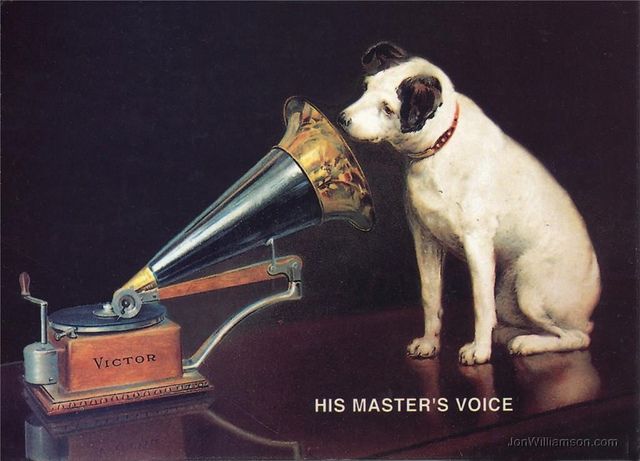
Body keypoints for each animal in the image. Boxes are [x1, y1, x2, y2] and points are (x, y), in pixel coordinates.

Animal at [340, 42, 600, 362]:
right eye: (366, 87)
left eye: (388, 108)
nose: (343, 120)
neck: (442, 145)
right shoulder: (425, 240)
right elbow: (430, 296)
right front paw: (429, 343)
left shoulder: (477, 244)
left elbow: (480, 303)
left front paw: (479, 350)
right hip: (508, 295)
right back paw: (508, 335)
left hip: (530, 291)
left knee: (575, 337)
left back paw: (527, 344)